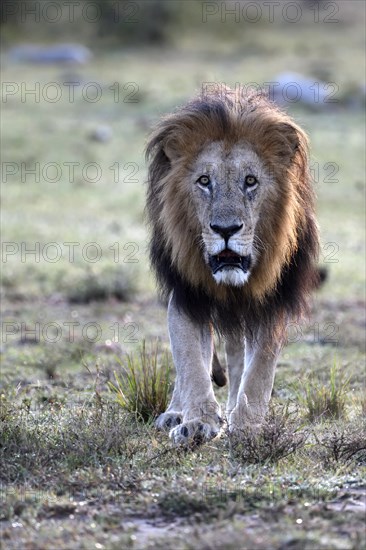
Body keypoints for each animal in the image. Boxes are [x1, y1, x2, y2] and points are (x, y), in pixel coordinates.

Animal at [146, 86, 320, 448]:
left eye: (250, 181)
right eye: (204, 180)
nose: (225, 229)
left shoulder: (273, 300)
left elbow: (260, 369)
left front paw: (248, 426)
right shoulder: (187, 294)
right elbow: (190, 361)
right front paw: (198, 422)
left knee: (238, 356)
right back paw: (175, 412)